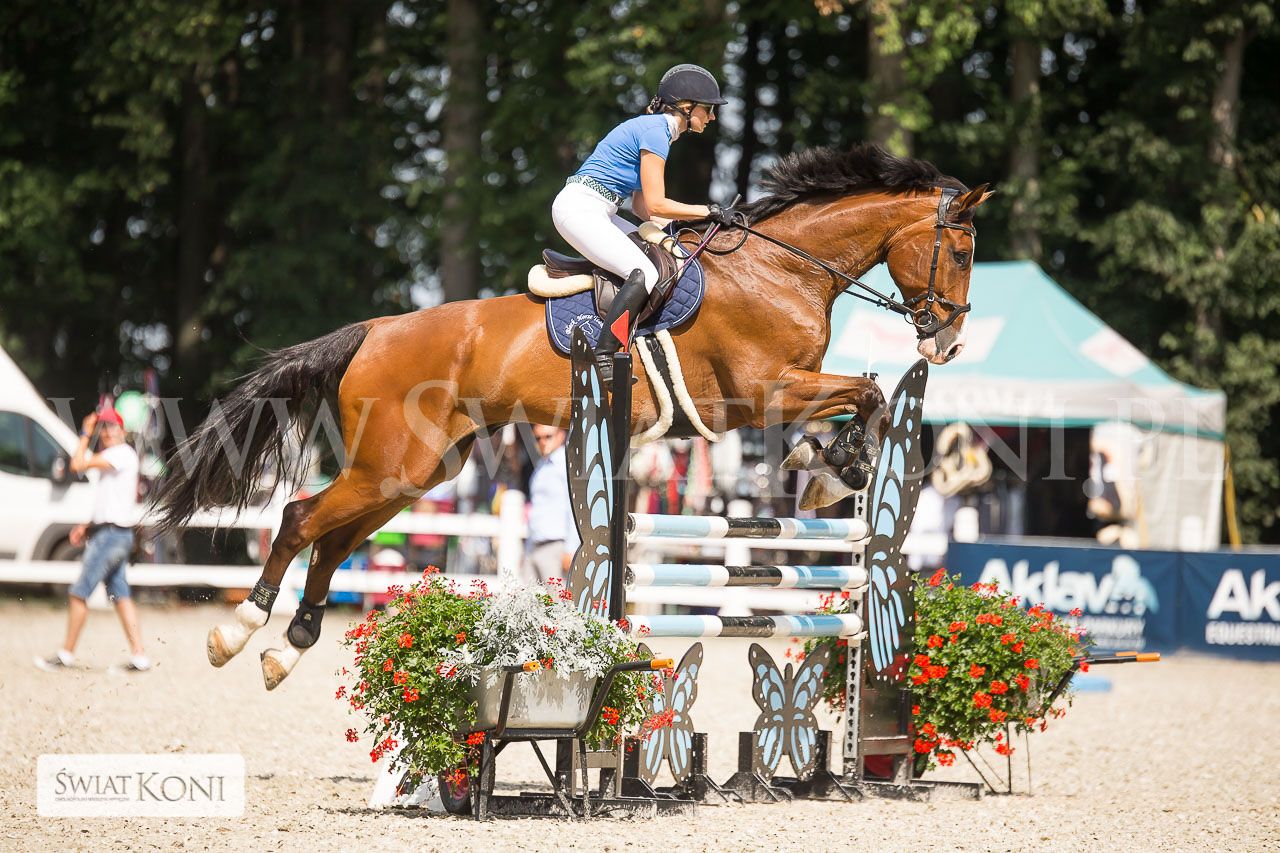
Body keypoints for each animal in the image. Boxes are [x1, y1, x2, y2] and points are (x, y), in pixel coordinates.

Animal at [151, 143, 992, 689]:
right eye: (959, 251)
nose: (948, 342)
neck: (782, 266)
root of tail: (376, 329)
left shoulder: (776, 392)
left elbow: (864, 394)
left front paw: (826, 468)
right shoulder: (759, 389)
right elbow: (867, 391)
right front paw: (836, 468)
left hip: (418, 470)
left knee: (333, 538)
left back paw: (287, 647)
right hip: (390, 463)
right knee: (300, 519)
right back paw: (236, 633)